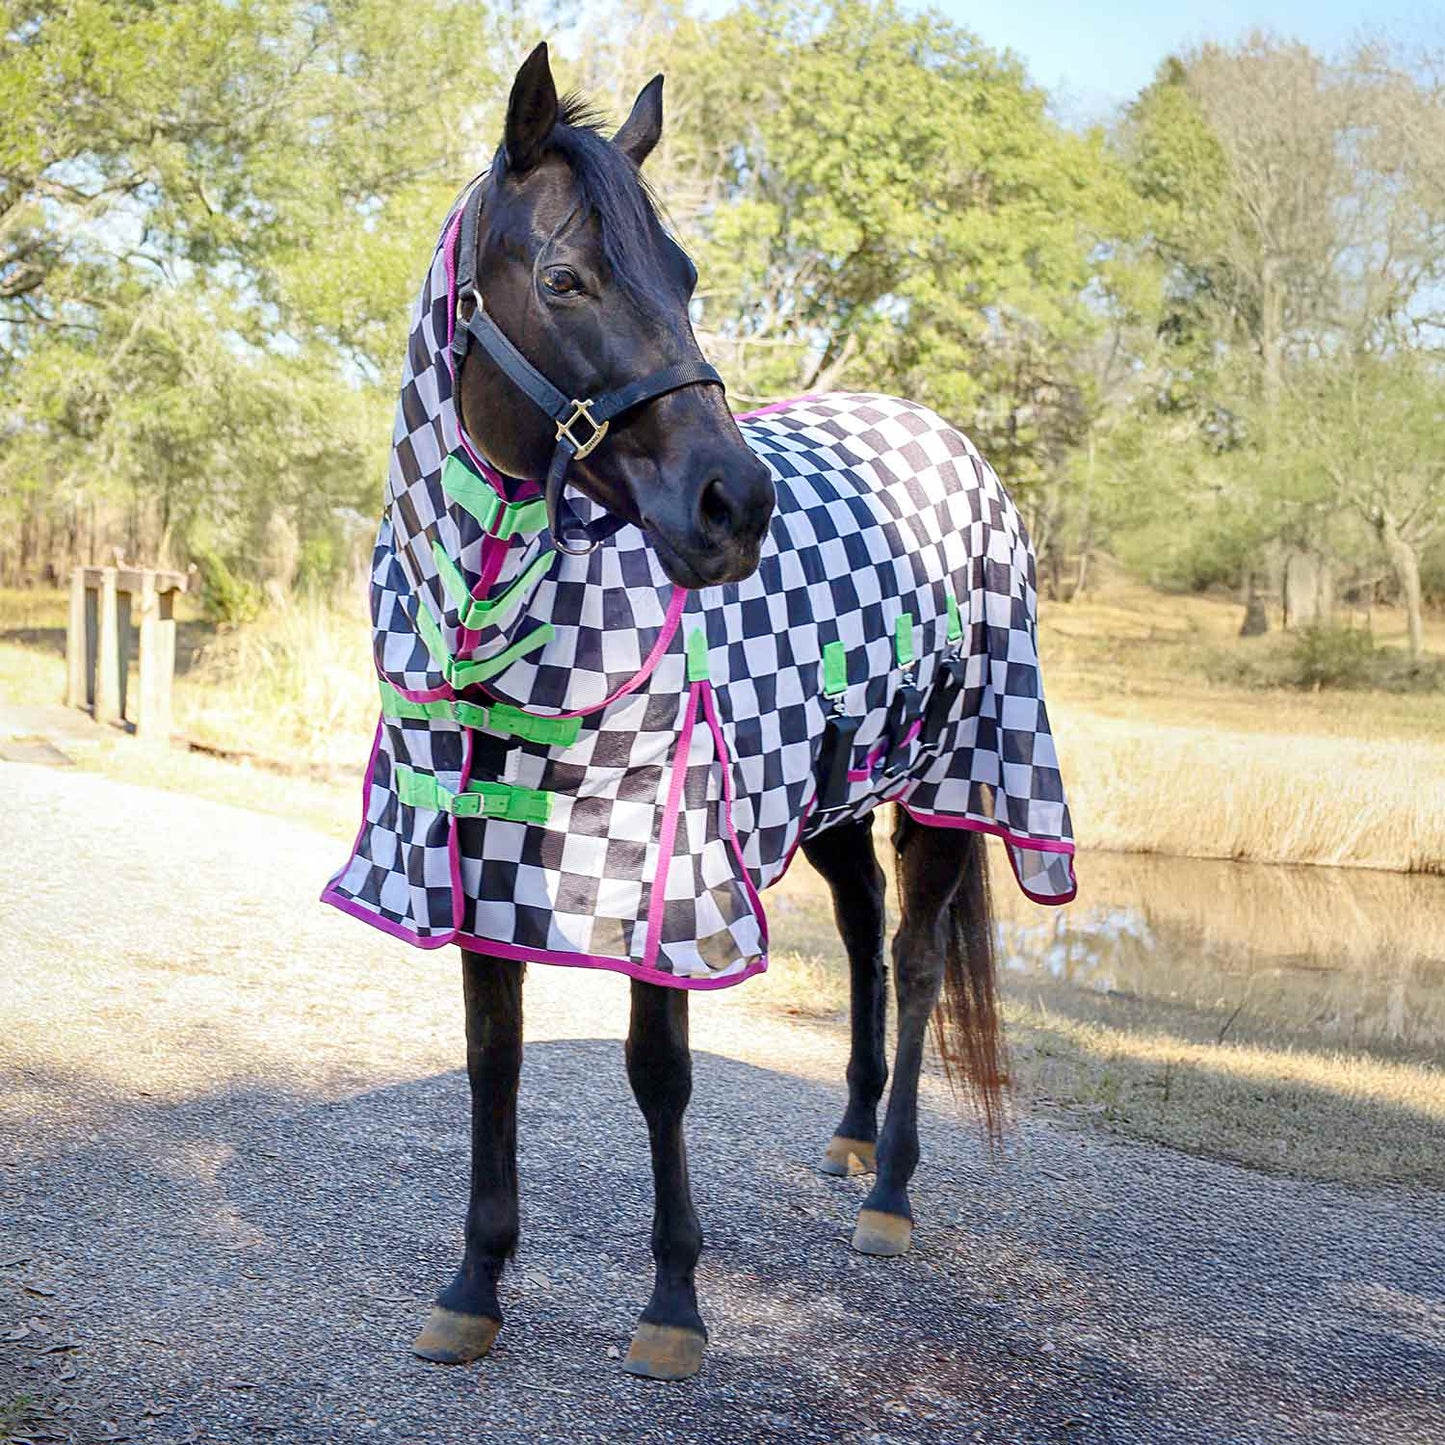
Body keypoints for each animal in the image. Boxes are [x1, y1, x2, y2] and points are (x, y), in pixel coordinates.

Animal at [324, 42, 1075, 1381]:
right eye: (563, 277)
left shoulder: (662, 867)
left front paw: (674, 1301)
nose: (736, 502)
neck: (504, 622)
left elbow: (658, 1072)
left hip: (954, 779)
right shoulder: (472, 854)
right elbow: (489, 1059)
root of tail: (946, 439)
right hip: (835, 786)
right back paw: (846, 1130)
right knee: (865, 928)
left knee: (916, 954)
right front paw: (474, 1283)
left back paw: (887, 1186)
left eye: (682, 275)